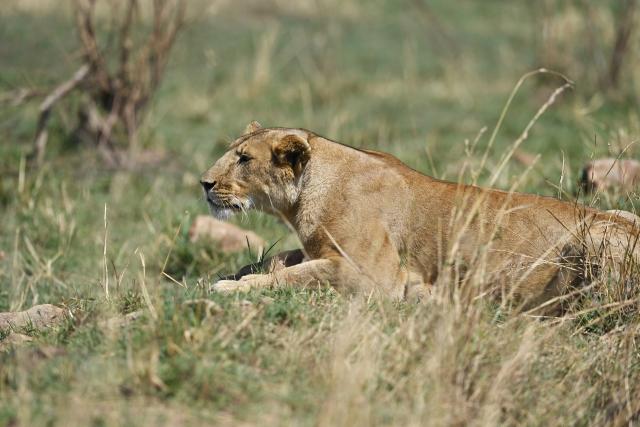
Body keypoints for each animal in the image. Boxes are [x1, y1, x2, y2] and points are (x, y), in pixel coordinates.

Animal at [200, 121, 640, 309]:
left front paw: (231, 287)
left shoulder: (374, 275)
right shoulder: (319, 249)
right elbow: (281, 259)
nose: (204, 183)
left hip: (593, 240)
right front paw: (233, 274)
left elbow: (299, 274)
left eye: (243, 159)